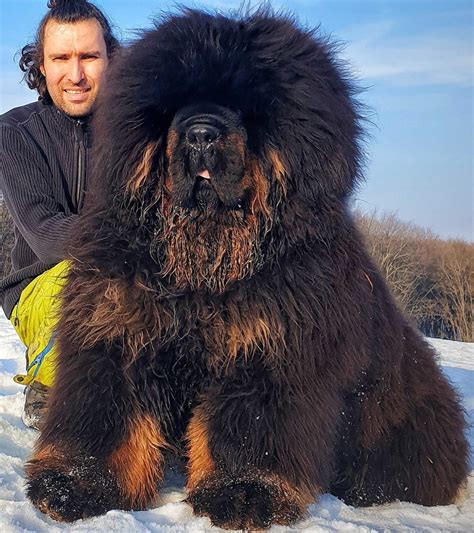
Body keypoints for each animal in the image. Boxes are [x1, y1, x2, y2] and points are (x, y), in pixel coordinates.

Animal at [25, 7, 466, 528]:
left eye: (245, 111)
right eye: (174, 109)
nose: (200, 133)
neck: (204, 261)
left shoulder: (268, 351)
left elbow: (247, 433)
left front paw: (243, 494)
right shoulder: (118, 333)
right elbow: (108, 420)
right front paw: (74, 484)